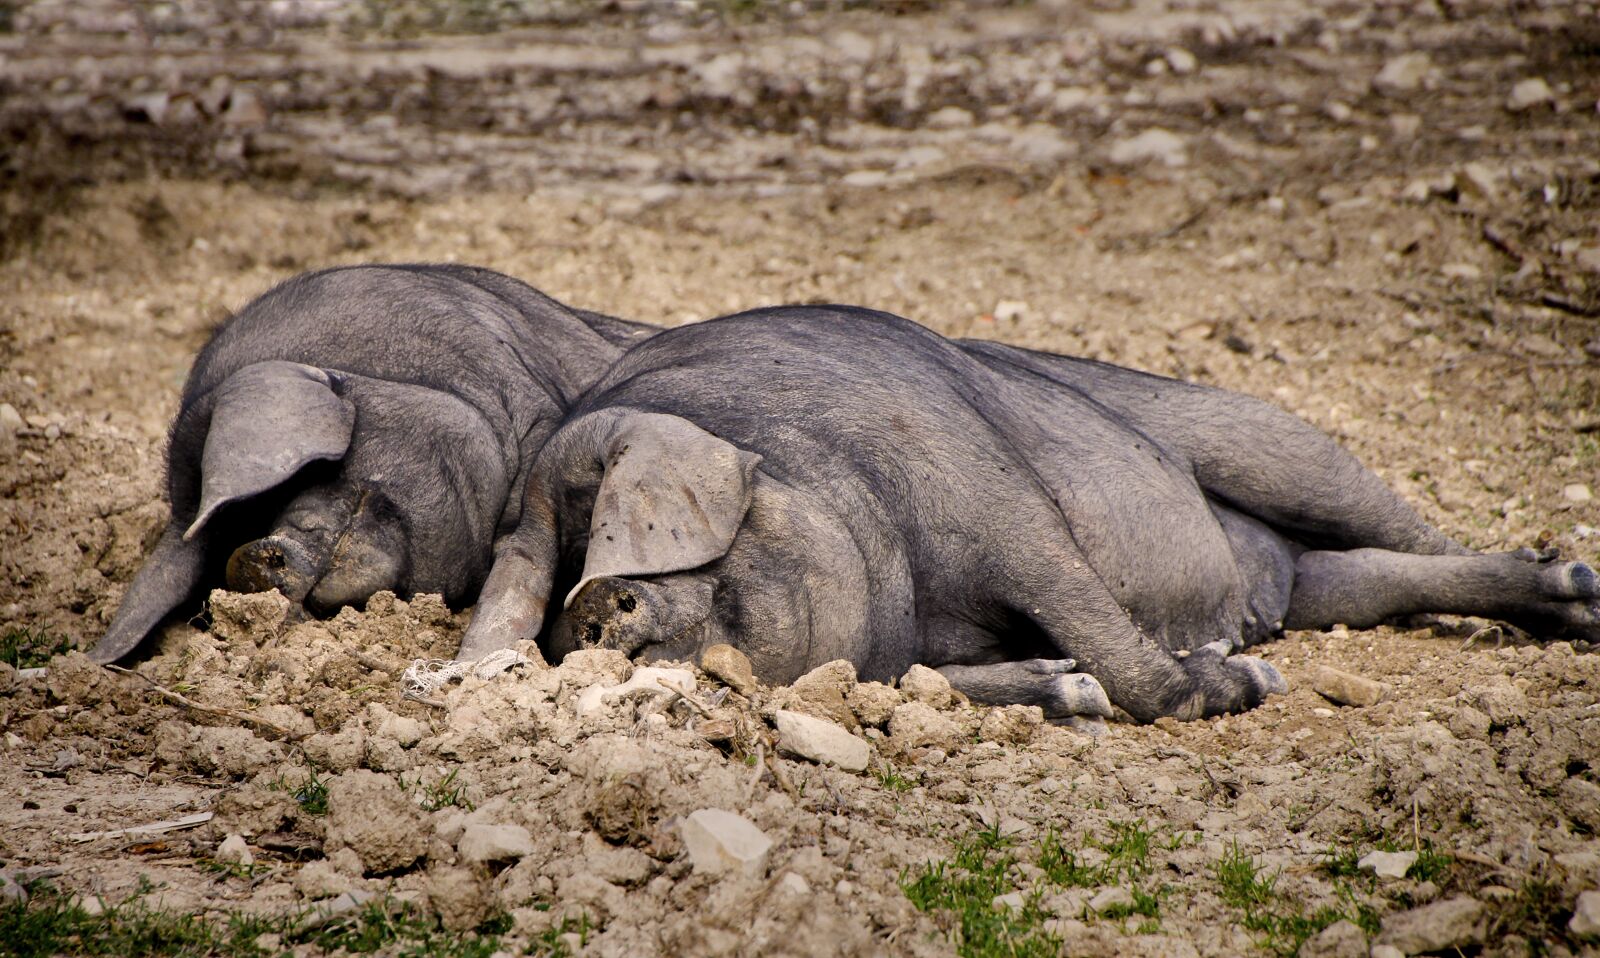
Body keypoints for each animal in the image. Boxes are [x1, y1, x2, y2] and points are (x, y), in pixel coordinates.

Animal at [458, 305, 1598, 722]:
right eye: (559, 569)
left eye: (618, 530)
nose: (594, 611)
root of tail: (1264, 580)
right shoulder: (896, 650)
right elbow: (948, 676)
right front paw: (1067, 687)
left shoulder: (998, 502)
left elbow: (1096, 621)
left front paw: (1234, 682)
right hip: (1317, 578)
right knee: (1365, 579)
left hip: (1265, 435)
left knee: (1409, 529)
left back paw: (1578, 588)